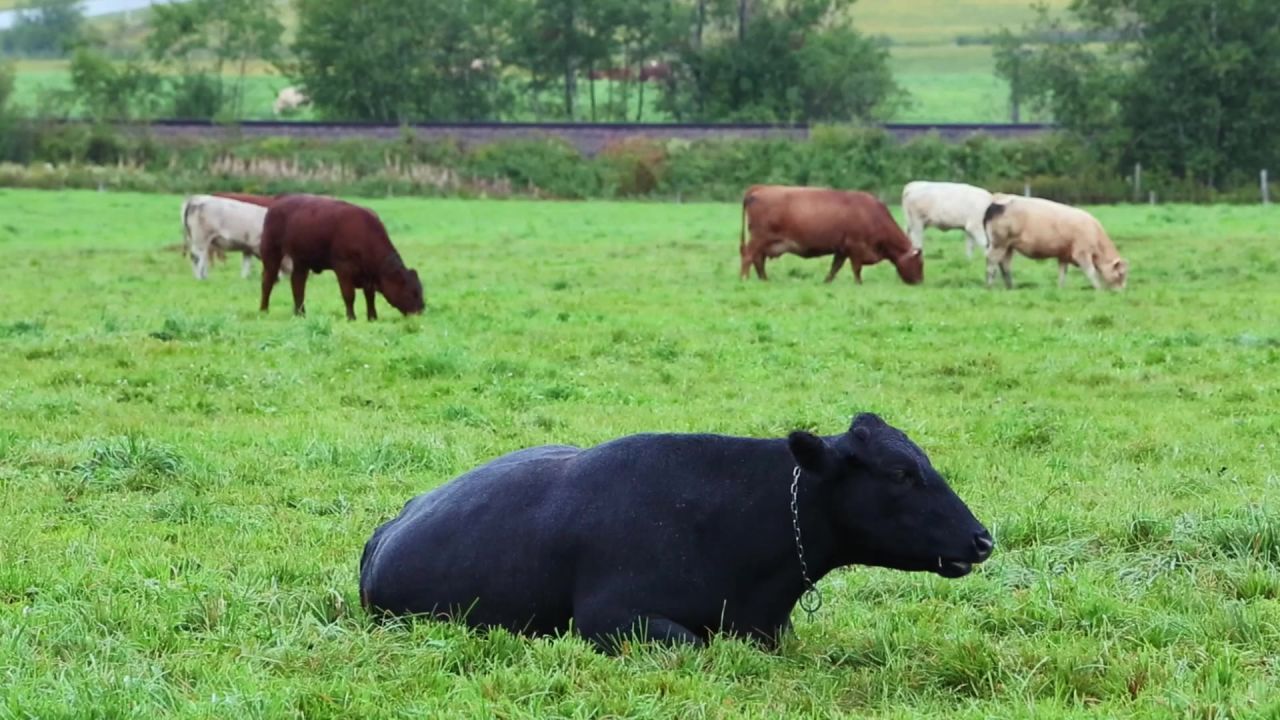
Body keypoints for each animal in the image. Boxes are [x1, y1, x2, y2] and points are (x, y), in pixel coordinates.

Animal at [258, 194, 424, 320]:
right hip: (271, 251)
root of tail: (278, 201)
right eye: (411, 293)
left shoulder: (368, 276)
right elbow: (349, 295)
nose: (421, 310)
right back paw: (264, 310)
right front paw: (351, 318)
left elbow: (370, 296)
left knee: (297, 284)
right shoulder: (343, 268)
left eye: (420, 290)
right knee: (267, 281)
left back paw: (301, 314)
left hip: (301, 260)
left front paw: (372, 317)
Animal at [742, 184, 921, 283]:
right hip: (759, 239)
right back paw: (744, 278)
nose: (921, 281)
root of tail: (759, 189)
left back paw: (764, 279)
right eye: (919, 263)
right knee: (749, 256)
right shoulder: (855, 247)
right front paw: (859, 283)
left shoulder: (842, 249)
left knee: (758, 260)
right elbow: (856, 269)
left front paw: (826, 281)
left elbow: (835, 267)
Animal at [977, 196, 1131, 292]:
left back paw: (1010, 287)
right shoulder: (1082, 253)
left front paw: (1060, 289)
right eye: (1120, 274)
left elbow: (1063, 273)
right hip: (998, 244)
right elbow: (1091, 272)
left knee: (1005, 264)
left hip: (1008, 246)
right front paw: (1099, 289)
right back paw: (989, 286)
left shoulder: (1063, 255)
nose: (1122, 291)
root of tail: (996, 204)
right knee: (991, 261)